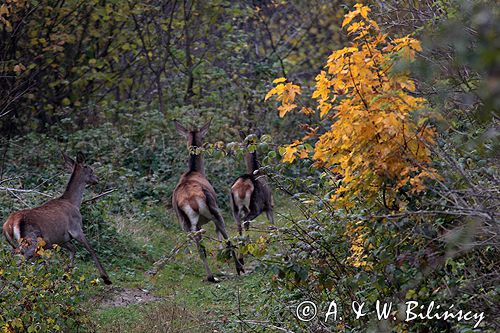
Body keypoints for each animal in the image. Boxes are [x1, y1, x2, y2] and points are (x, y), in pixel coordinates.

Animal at [2, 152, 112, 284]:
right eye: (90, 170)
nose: (97, 179)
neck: (74, 203)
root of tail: (9, 224)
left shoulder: (60, 239)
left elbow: (73, 249)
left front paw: (66, 274)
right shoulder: (76, 229)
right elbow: (91, 249)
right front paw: (105, 277)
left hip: (16, 244)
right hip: (31, 241)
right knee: (19, 260)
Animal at [172, 119, 244, 280]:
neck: (195, 171)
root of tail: (191, 200)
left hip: (185, 223)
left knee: (200, 247)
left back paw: (211, 276)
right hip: (214, 210)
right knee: (226, 237)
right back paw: (239, 268)